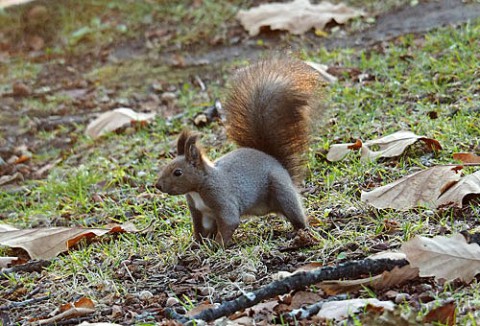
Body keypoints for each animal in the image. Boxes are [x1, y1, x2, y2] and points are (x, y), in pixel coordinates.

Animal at [157, 58, 318, 246]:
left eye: (178, 172)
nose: (158, 185)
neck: (198, 187)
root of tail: (277, 162)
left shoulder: (222, 199)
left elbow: (229, 222)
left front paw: (217, 246)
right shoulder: (199, 212)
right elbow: (200, 230)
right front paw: (195, 245)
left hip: (282, 191)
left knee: (294, 212)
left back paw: (302, 231)